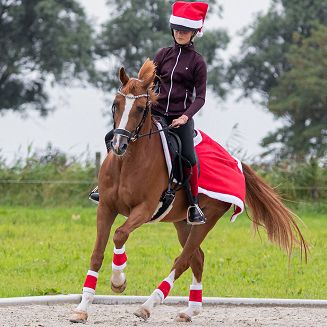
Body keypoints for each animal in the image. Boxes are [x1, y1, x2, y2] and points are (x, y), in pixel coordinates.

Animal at [70, 60, 308, 324]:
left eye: (141, 108)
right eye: (116, 104)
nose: (118, 145)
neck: (127, 163)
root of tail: (235, 162)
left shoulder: (144, 209)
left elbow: (120, 234)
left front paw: (118, 281)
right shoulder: (106, 207)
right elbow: (97, 253)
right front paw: (82, 308)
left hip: (207, 218)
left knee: (183, 260)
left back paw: (148, 306)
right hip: (182, 223)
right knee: (198, 258)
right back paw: (190, 310)